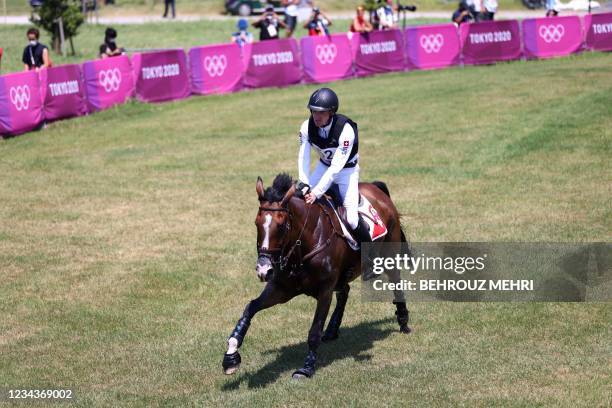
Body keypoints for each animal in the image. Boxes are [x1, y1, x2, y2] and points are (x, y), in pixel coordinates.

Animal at [221, 173, 412, 380]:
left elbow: (314, 331)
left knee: (395, 282)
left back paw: (403, 321)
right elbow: (251, 308)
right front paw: (231, 355)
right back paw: (332, 330)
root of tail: (376, 189)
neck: (304, 243)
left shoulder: (324, 291)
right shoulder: (281, 289)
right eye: (256, 223)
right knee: (344, 290)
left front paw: (306, 368)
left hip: (389, 253)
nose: (264, 270)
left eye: (281, 226)